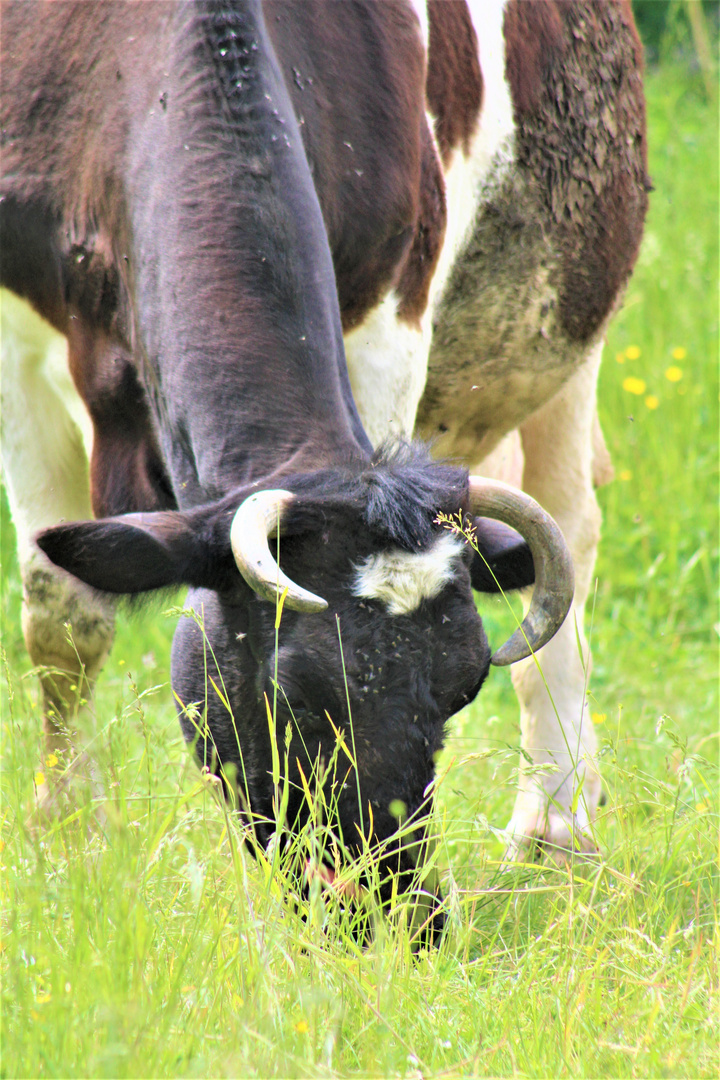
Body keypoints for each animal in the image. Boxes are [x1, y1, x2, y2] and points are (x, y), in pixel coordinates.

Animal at [1, 0, 647, 885]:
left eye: (460, 690)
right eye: (295, 695)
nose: (393, 900)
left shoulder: (389, 319)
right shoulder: (18, 343)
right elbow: (63, 619)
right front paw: (68, 832)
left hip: (565, 335)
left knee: (571, 534)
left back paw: (555, 822)